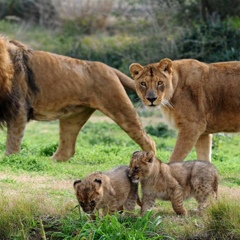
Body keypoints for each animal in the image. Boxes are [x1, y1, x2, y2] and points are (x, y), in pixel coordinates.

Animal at [0, 36, 156, 161]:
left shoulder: (19, 108)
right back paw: (50, 162)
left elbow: (14, 138)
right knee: (67, 150)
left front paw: (8, 160)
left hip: (120, 108)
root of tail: (110, 68)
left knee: (148, 140)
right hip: (72, 118)